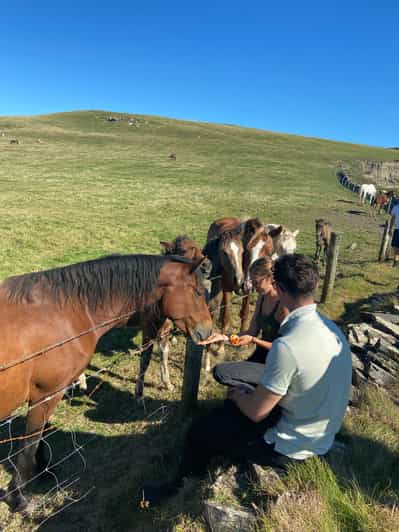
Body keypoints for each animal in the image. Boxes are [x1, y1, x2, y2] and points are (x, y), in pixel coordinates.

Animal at [0, 254, 212, 512]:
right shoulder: (47, 394)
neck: (63, 312)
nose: (208, 331)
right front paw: (18, 496)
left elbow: (40, 436)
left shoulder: (46, 394)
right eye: (198, 292)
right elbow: (30, 443)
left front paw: (43, 472)